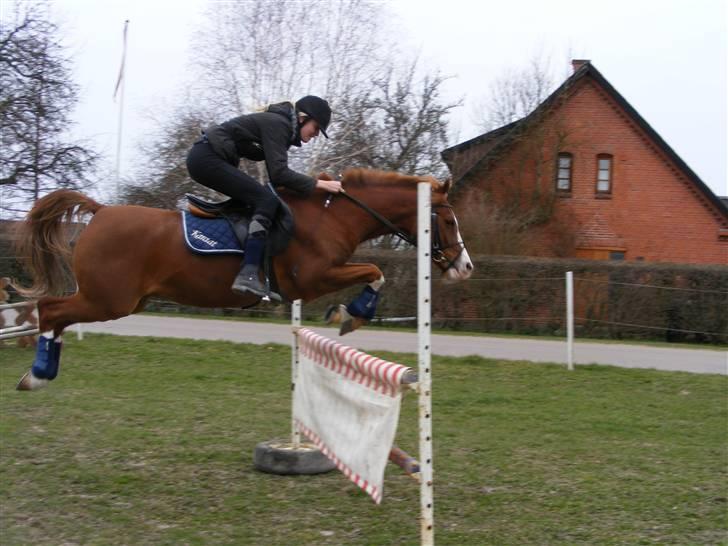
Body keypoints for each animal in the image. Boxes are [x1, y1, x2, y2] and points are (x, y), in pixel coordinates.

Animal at [17, 168, 474, 388]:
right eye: (449, 220)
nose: (465, 268)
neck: (332, 214)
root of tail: (101, 211)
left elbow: (373, 272)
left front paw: (347, 314)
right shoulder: (311, 279)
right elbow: (375, 271)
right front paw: (351, 315)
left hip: (120, 300)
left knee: (55, 314)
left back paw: (40, 371)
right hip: (108, 300)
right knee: (49, 309)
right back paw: (37, 375)